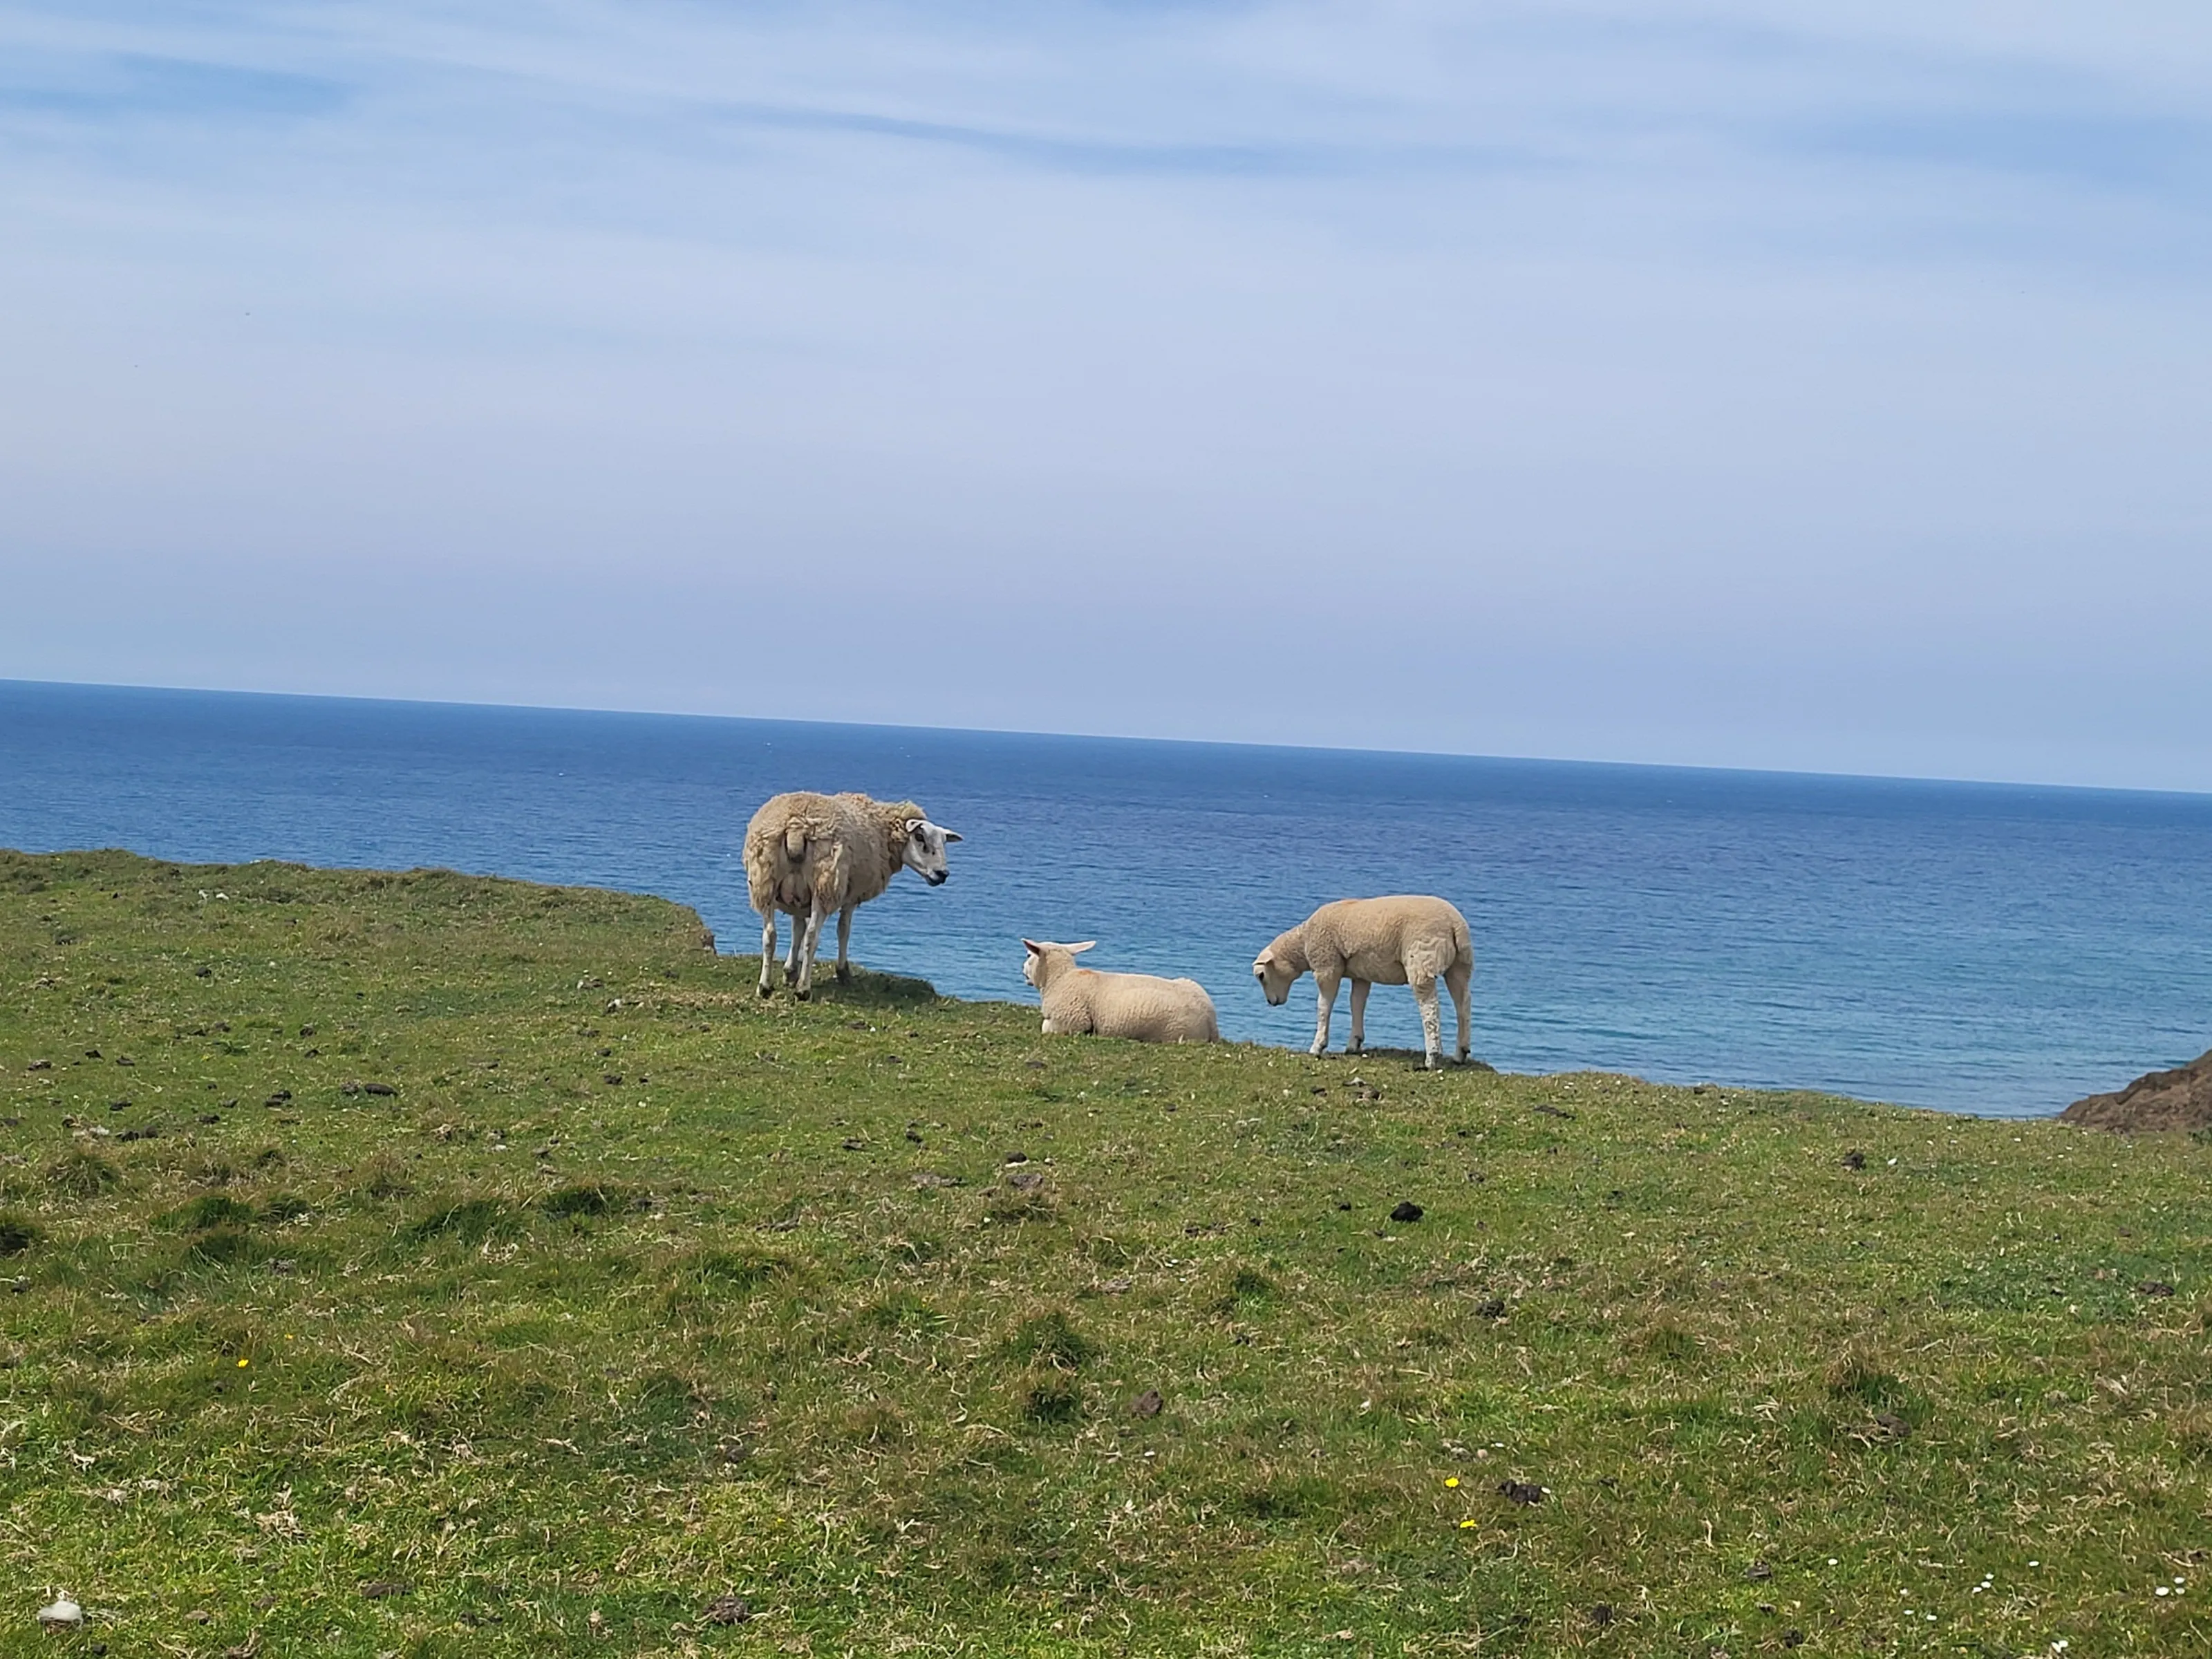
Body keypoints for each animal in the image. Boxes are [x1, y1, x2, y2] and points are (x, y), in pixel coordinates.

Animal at [744, 791, 961, 999]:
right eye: (920, 838)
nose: (943, 874)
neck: (883, 829)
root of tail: (796, 827)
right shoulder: (852, 894)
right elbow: (843, 930)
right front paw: (843, 972)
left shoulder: (798, 898)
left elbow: (797, 929)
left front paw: (790, 972)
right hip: (825, 885)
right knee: (812, 937)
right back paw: (803, 990)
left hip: (764, 882)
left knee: (770, 935)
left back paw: (764, 987)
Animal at [1022, 940, 1219, 1045]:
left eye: (1029, 955)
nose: (1023, 970)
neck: (1059, 978)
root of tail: (1211, 1021)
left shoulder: (1070, 1022)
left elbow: (1045, 1027)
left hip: (1172, 1034)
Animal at [1252, 895, 1473, 1069]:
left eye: (1261, 976)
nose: (1271, 1003)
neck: (1303, 942)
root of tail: (1455, 925)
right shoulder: (1361, 976)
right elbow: (1357, 1004)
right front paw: (1354, 1043)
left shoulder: (1327, 967)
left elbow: (1324, 1007)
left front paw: (1317, 1046)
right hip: (1460, 965)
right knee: (1463, 1004)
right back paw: (1460, 1053)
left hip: (1422, 959)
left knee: (1430, 1009)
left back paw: (1432, 1057)